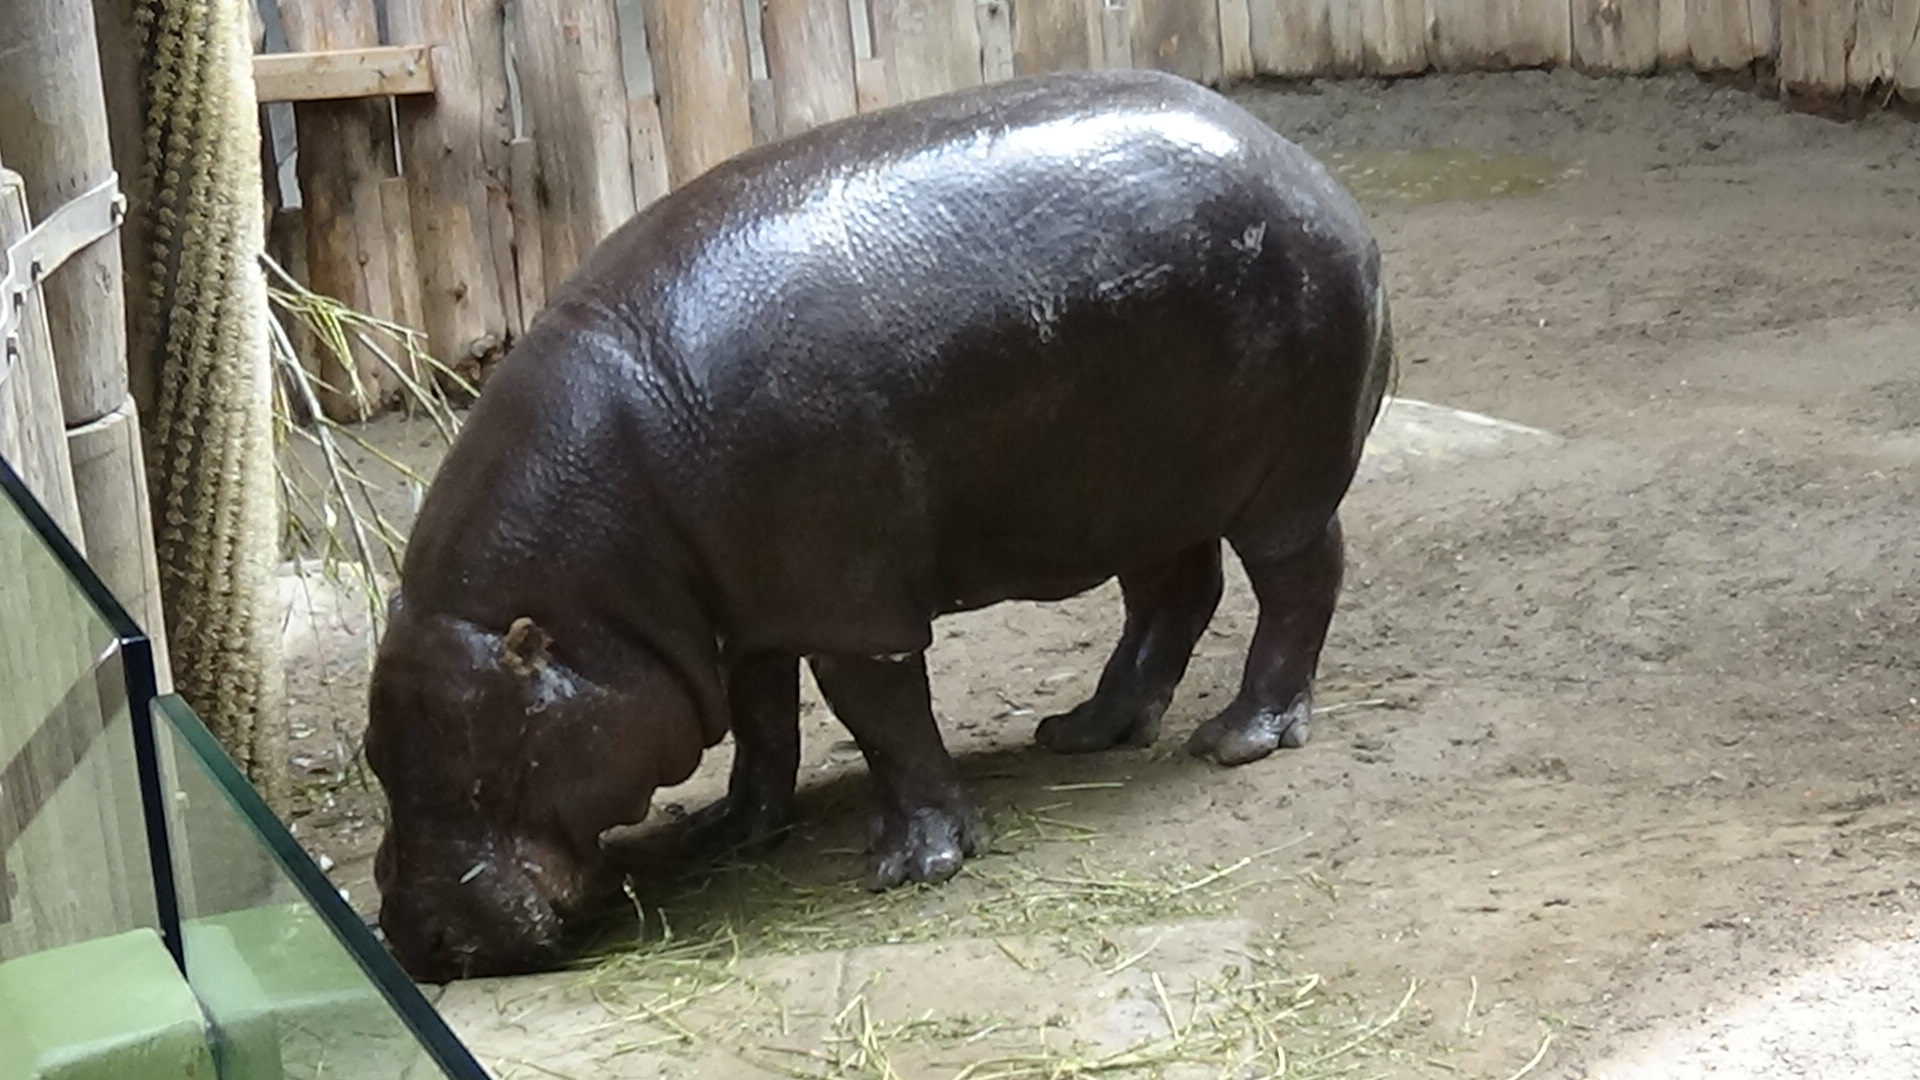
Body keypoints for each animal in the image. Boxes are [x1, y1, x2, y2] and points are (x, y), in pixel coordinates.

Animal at [365, 67, 1394, 981]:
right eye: (378, 755)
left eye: (492, 766)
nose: (419, 942)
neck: (591, 613)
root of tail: (1311, 173)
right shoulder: (747, 609)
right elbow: (764, 721)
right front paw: (727, 834)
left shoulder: (848, 605)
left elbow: (880, 714)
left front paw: (915, 864)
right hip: (1142, 491)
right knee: (1172, 596)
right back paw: (1084, 730)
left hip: (1284, 481)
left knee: (1299, 582)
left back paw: (1237, 739)